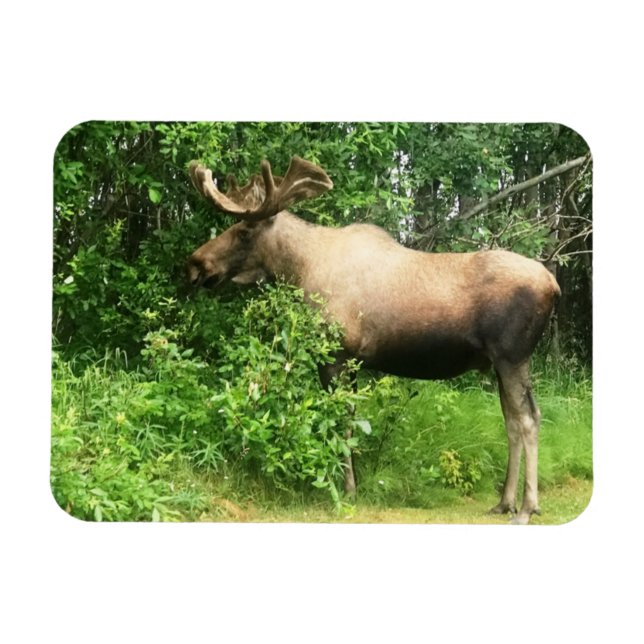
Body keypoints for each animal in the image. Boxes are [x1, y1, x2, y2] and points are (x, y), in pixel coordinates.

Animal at [186, 155, 561, 525]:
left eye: (244, 230)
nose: (195, 265)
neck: (300, 269)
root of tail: (554, 286)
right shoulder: (353, 361)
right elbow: (349, 422)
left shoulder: (336, 354)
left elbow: (340, 424)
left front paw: (343, 489)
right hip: (500, 364)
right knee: (512, 420)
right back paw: (504, 502)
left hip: (512, 357)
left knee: (528, 419)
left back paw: (526, 507)